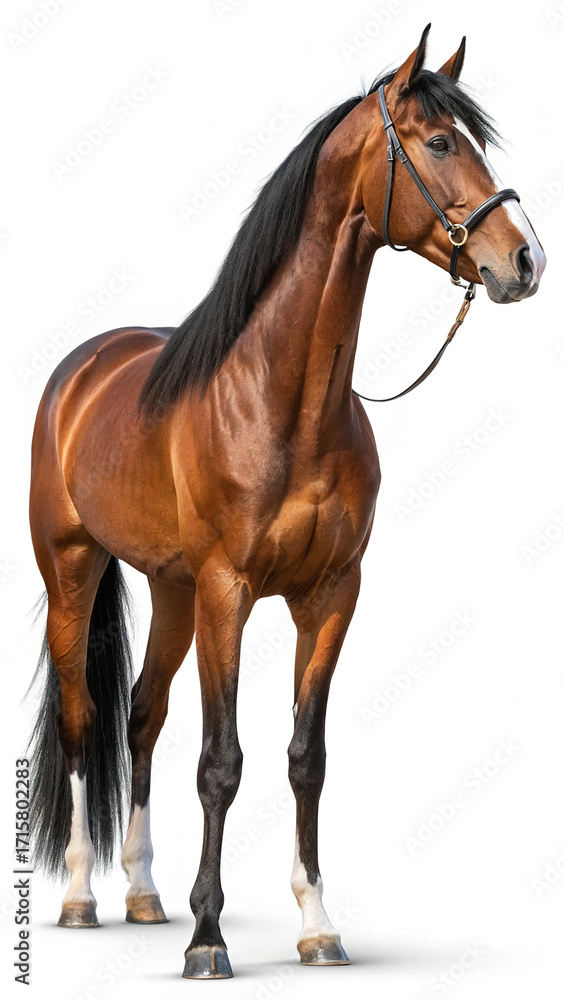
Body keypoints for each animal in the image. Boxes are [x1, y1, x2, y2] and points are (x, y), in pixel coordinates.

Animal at [29, 25, 545, 979]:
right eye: (438, 143)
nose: (523, 261)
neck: (285, 401)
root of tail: (79, 372)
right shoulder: (229, 592)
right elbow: (220, 762)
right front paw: (208, 938)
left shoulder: (329, 594)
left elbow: (306, 757)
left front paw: (316, 924)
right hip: (74, 573)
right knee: (84, 724)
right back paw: (82, 899)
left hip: (170, 591)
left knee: (141, 719)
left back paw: (143, 894)